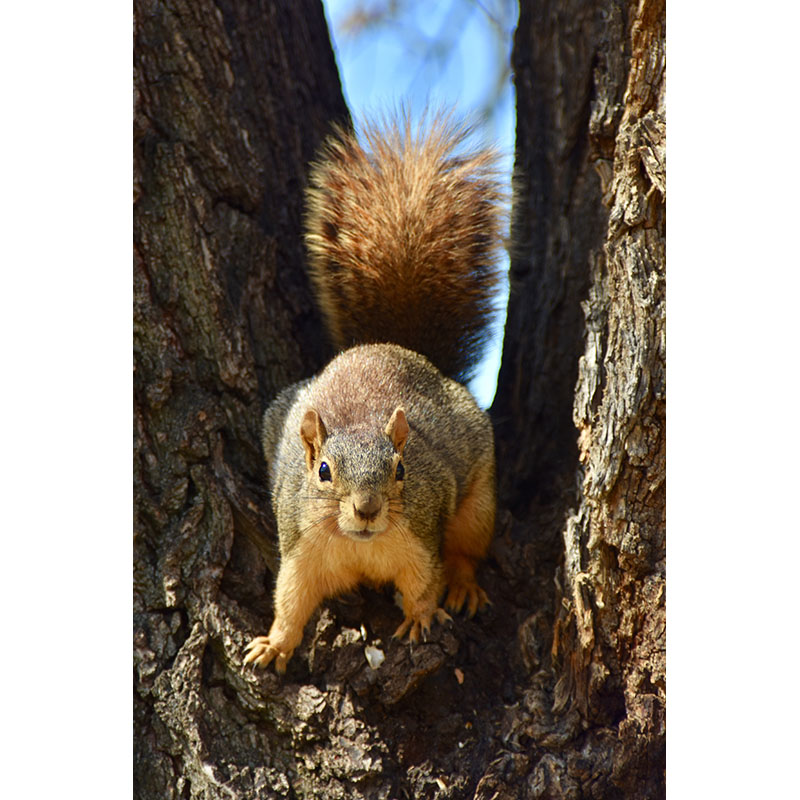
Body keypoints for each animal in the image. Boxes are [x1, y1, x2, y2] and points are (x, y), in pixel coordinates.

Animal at [245, 112, 506, 672]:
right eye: (323, 471)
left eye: (401, 469)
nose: (367, 509)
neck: (358, 544)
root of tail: (390, 345)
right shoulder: (300, 550)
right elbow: (290, 601)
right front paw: (274, 644)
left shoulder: (421, 539)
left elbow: (426, 581)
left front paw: (422, 617)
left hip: (477, 503)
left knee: (466, 550)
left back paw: (466, 586)